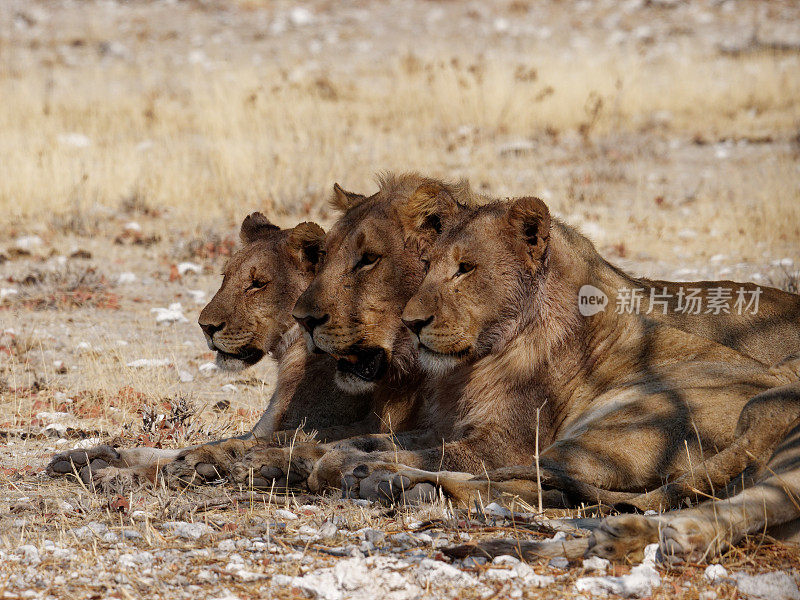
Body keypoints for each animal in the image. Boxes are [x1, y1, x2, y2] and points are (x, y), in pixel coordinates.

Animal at [334, 196, 800, 564]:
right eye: (428, 266)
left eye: (465, 269)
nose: (411, 323)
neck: (479, 360)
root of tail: (765, 422)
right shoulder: (446, 425)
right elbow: (381, 439)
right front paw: (334, 450)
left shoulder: (503, 441)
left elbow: (433, 454)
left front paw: (337, 461)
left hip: (616, 426)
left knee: (523, 482)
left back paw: (388, 481)